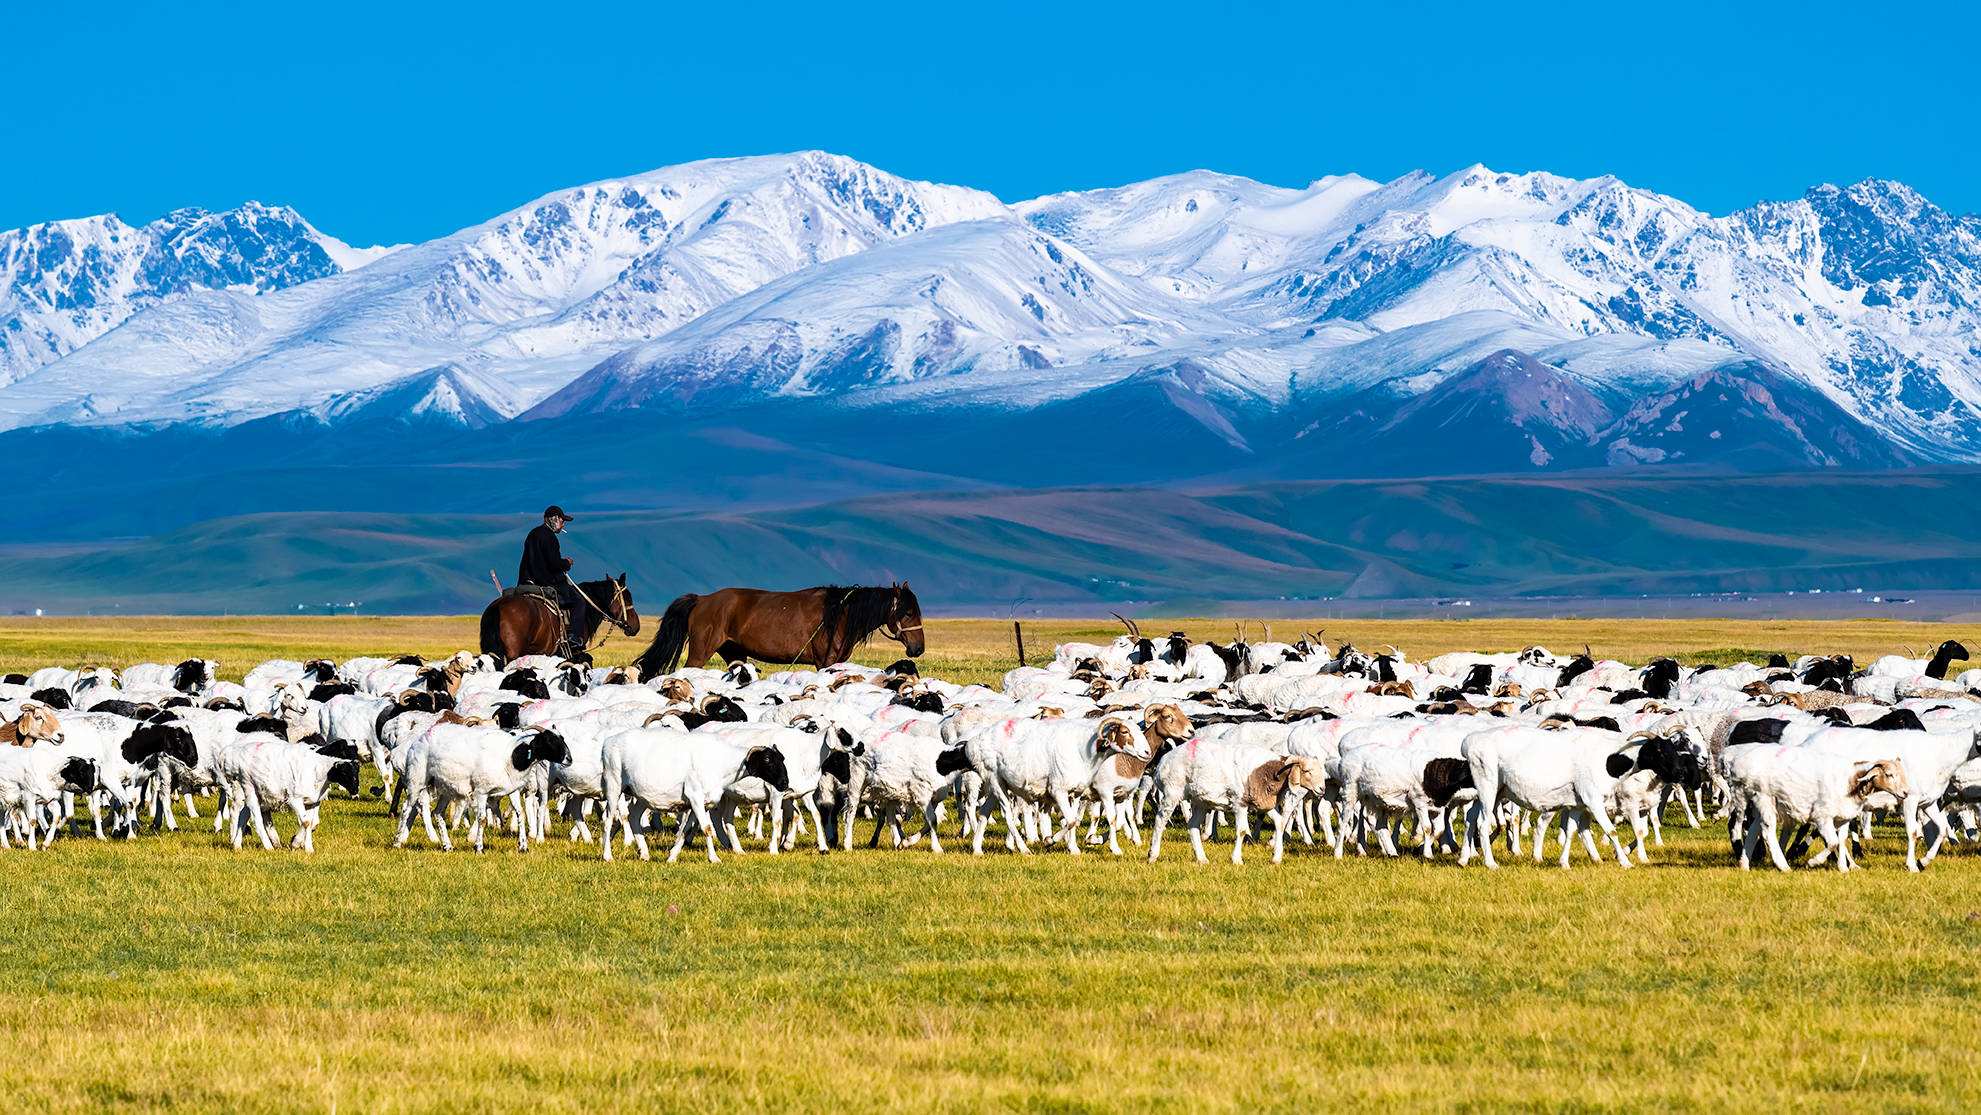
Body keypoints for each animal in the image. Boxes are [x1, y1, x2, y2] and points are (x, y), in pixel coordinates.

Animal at [633, 590, 927, 677]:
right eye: (907, 612)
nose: (918, 648)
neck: (839, 614)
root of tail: (702, 599)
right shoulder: (825, 661)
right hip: (700, 652)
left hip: (734, 654)